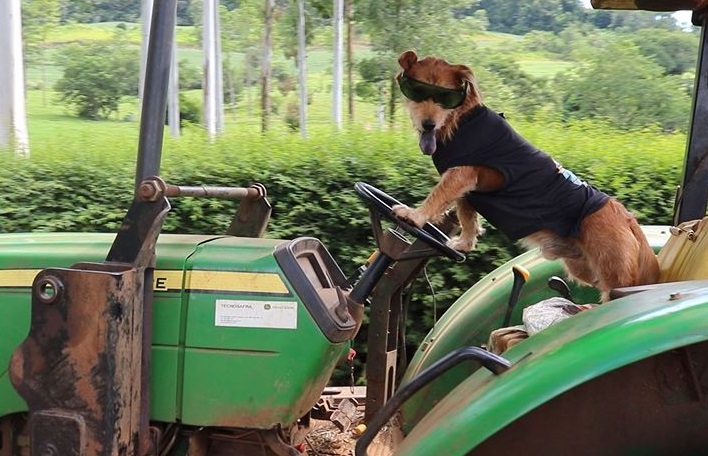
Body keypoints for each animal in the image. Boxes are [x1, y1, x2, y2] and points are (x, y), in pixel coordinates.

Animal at [392, 50, 660, 302]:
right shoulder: (468, 191)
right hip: (581, 266)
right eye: (417, 91)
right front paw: (464, 243)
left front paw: (414, 215)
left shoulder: (461, 174)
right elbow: (467, 218)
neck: (461, 118)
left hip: (615, 277)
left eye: (445, 97)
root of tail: (627, 218)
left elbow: (437, 197)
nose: (428, 124)